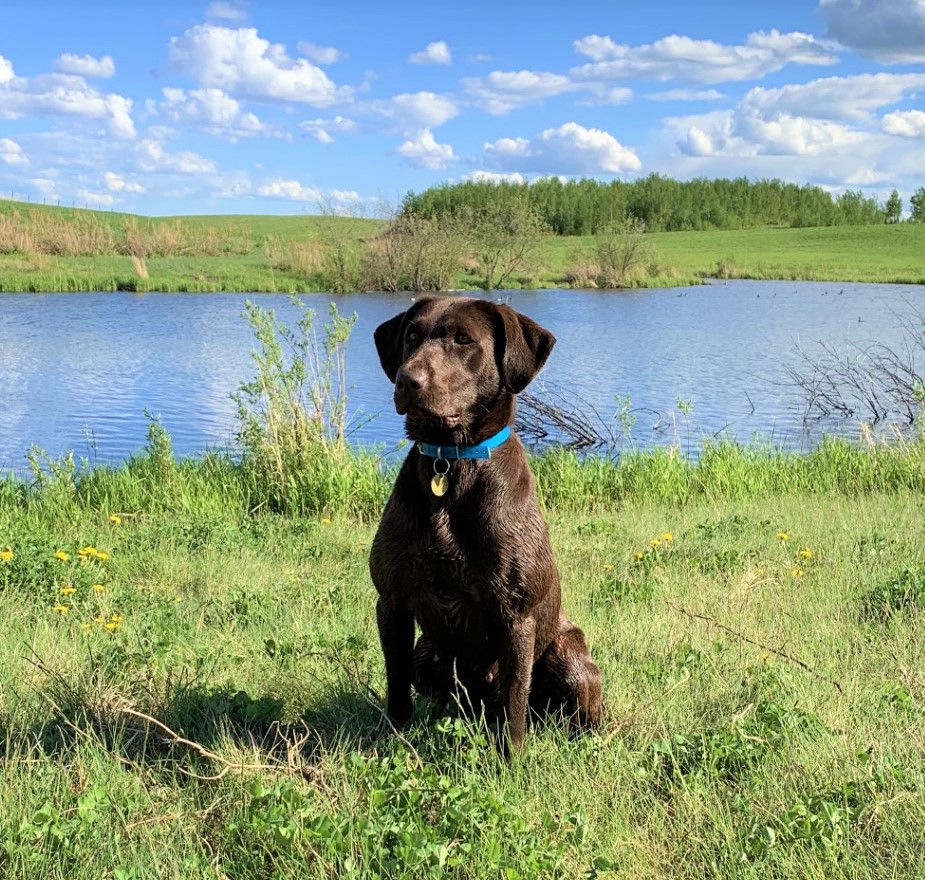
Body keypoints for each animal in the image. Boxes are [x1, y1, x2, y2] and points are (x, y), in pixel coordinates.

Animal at [370, 296, 608, 748]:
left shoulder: (516, 618)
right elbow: (397, 690)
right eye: (412, 335)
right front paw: (391, 743)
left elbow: (514, 708)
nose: (407, 381)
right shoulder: (391, 602)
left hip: (570, 658)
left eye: (464, 340)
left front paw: (511, 761)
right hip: (427, 651)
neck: (451, 460)